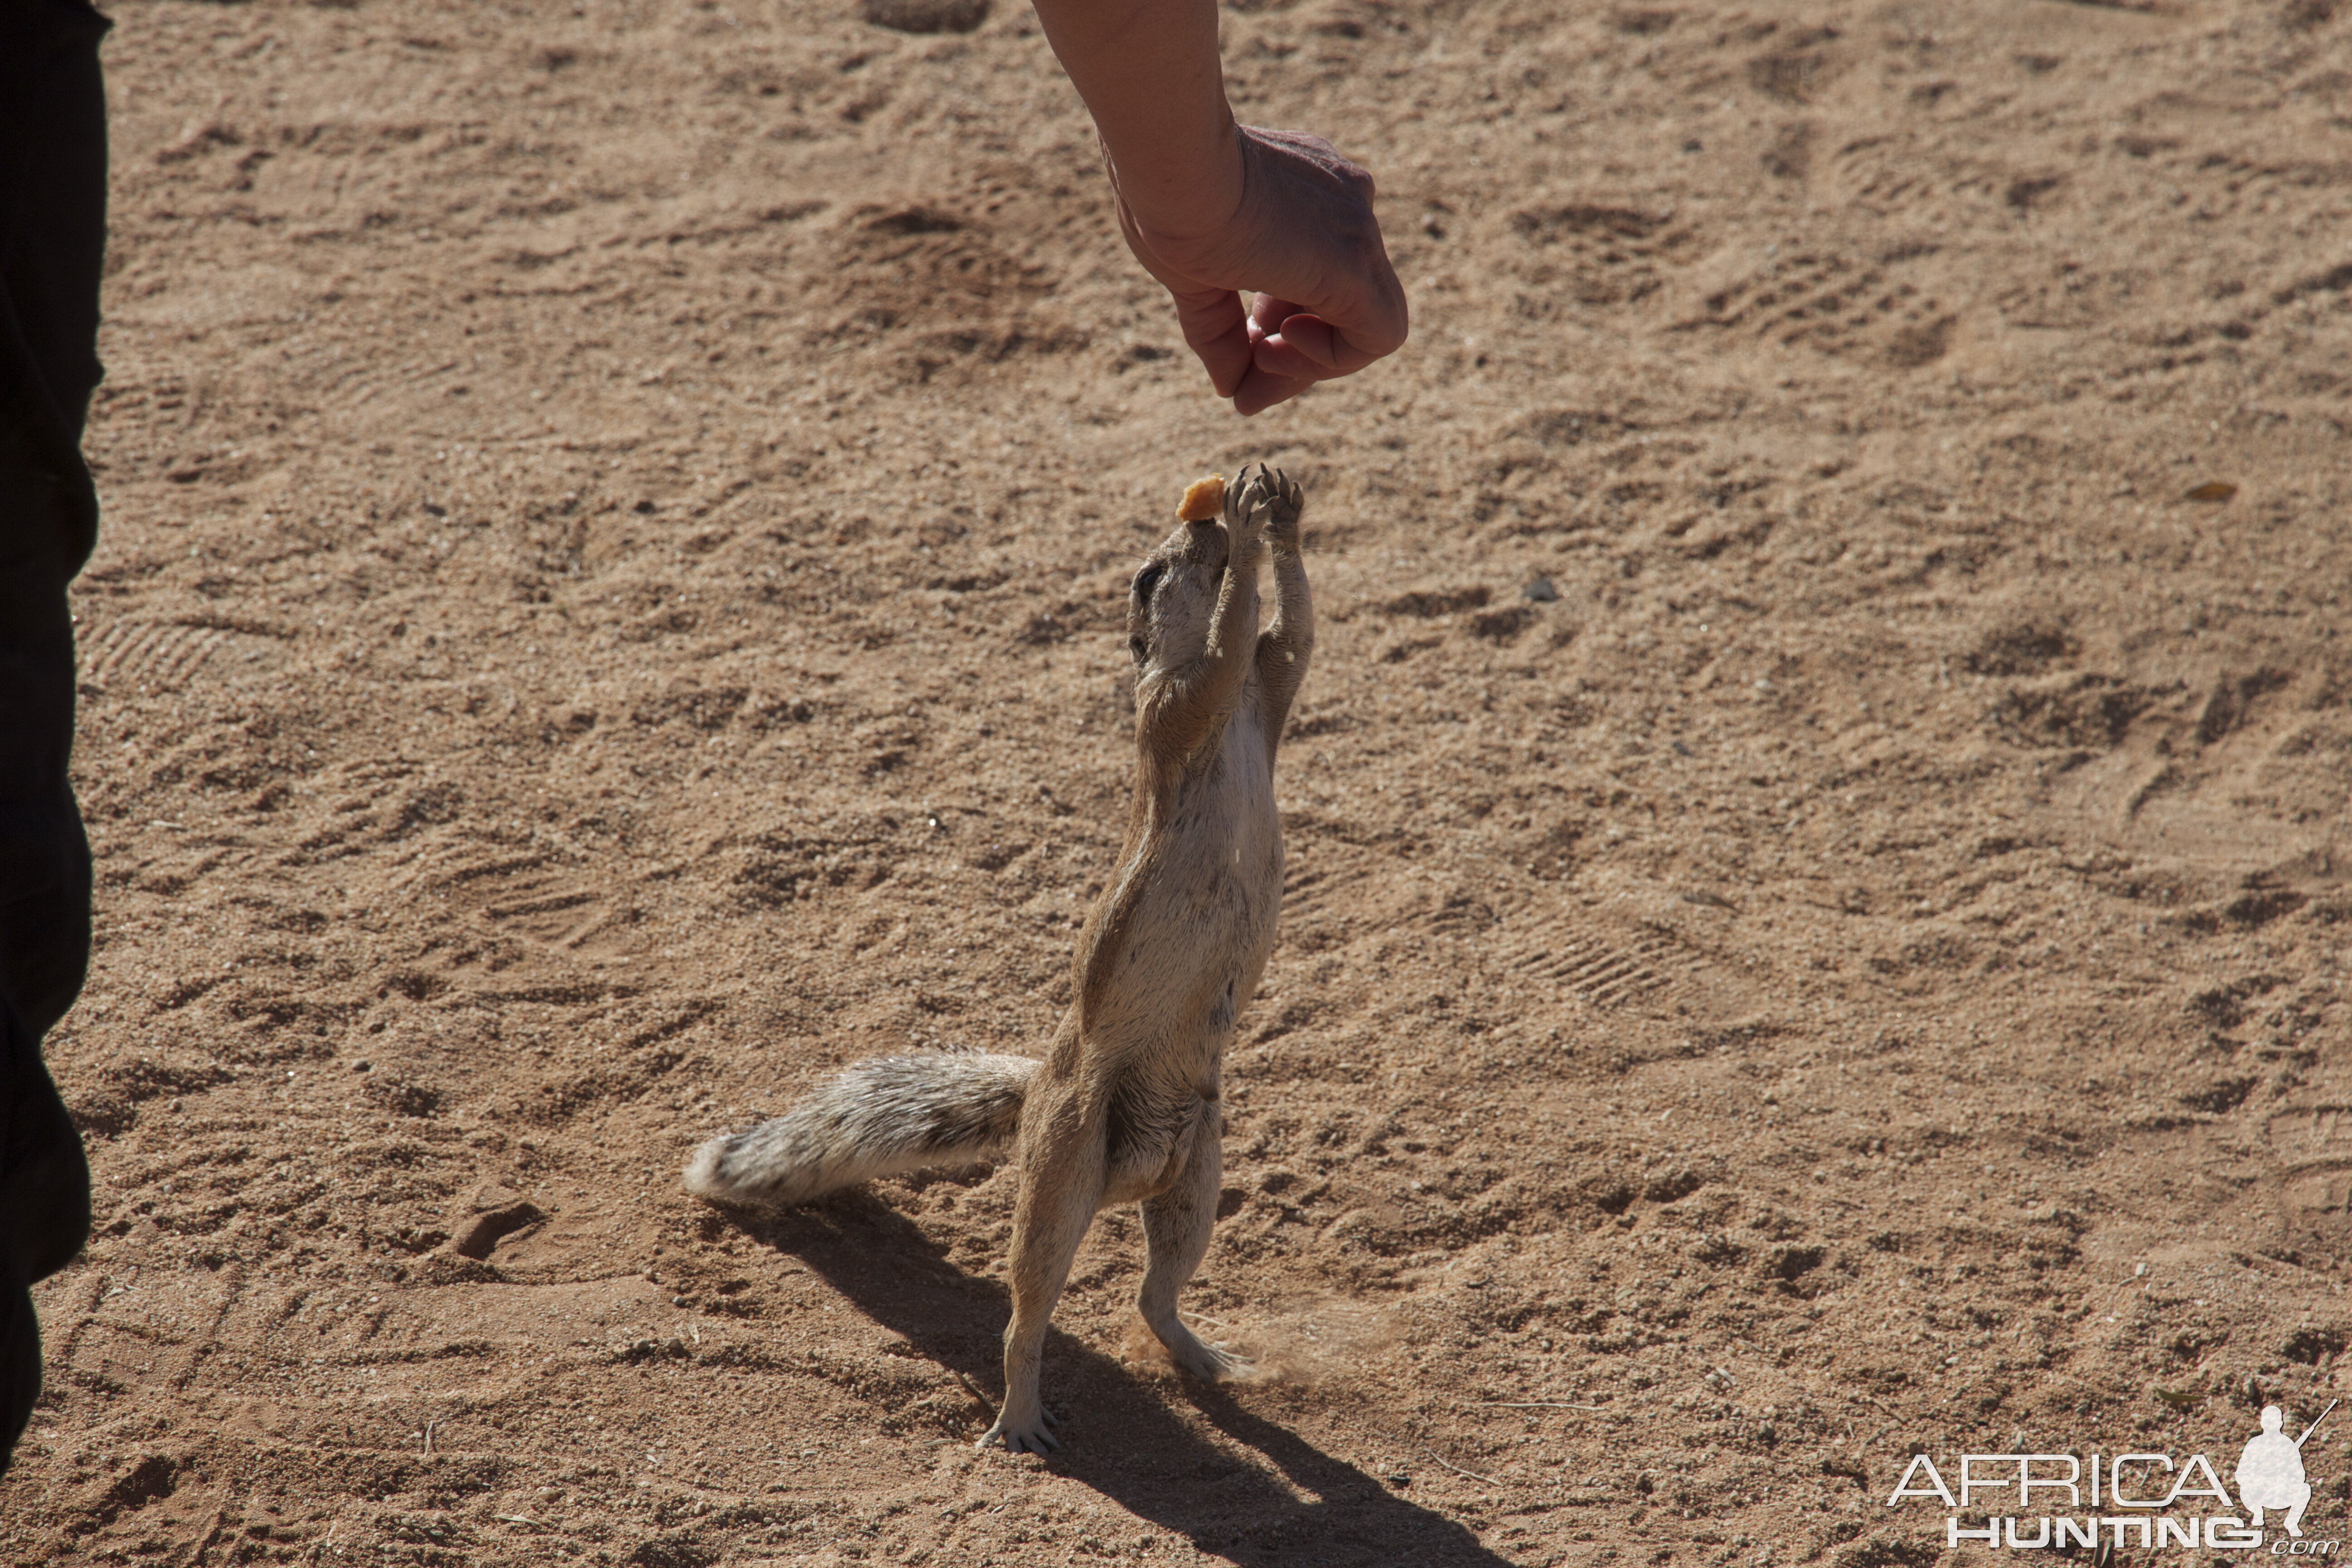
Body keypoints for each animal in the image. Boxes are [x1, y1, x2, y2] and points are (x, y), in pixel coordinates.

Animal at [682, 461, 1317, 1457]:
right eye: (1149, 575)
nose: (1203, 527)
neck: (1232, 711)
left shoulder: (1271, 684)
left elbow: (1294, 632)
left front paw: (1282, 508)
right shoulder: (1188, 702)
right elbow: (1230, 640)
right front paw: (1254, 528)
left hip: (1197, 1177)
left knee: (1155, 1292)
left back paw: (1207, 1357)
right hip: (1063, 1168)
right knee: (1027, 1310)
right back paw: (1019, 1417)